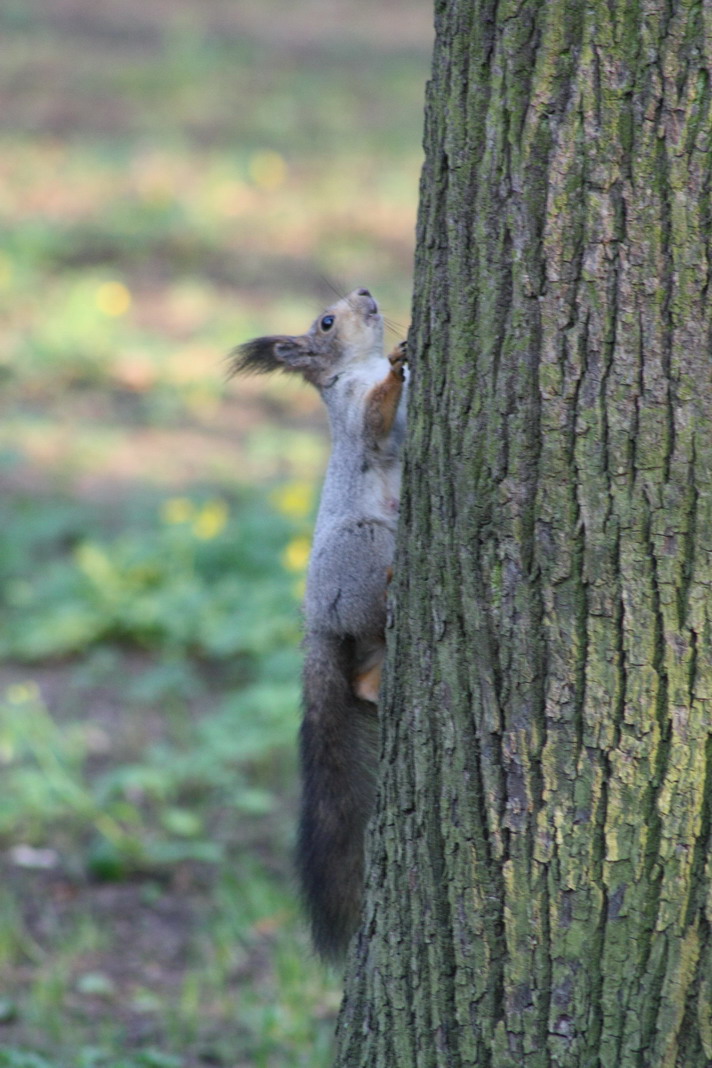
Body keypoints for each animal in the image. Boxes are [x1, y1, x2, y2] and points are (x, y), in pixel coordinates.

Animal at [231, 288, 409, 965]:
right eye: (327, 321)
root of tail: (318, 620)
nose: (365, 292)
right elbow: (378, 420)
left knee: (361, 673)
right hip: (367, 546)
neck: (353, 369)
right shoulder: (360, 416)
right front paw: (402, 365)